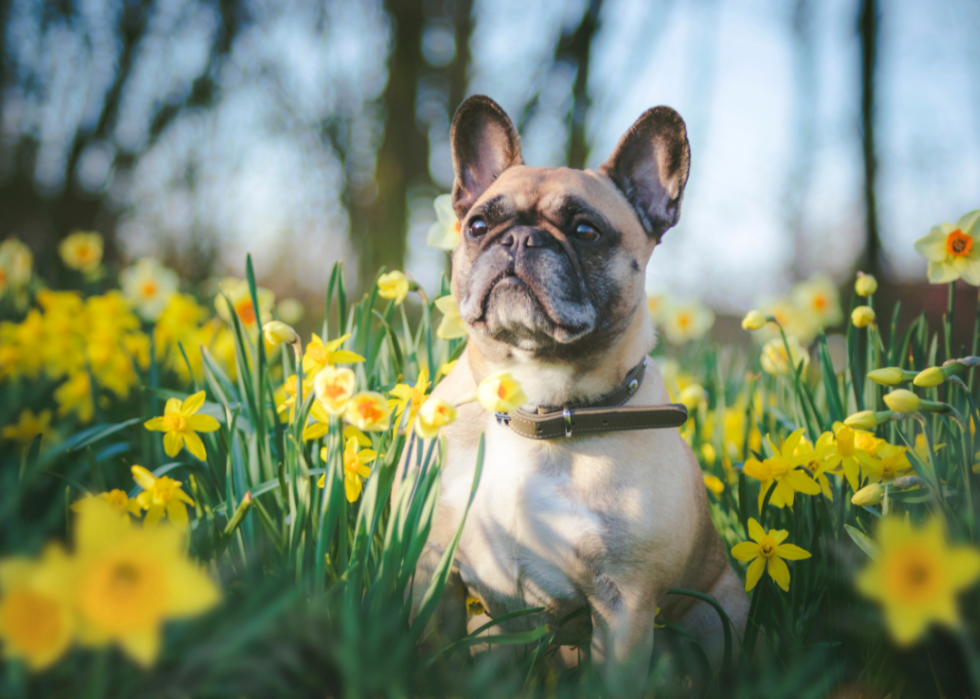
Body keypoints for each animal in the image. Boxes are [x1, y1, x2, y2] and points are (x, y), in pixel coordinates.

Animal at [406, 94, 752, 688]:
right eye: (478, 225)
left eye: (586, 231)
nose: (519, 238)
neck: (535, 406)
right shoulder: (435, 570)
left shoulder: (625, 603)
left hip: (719, 612)